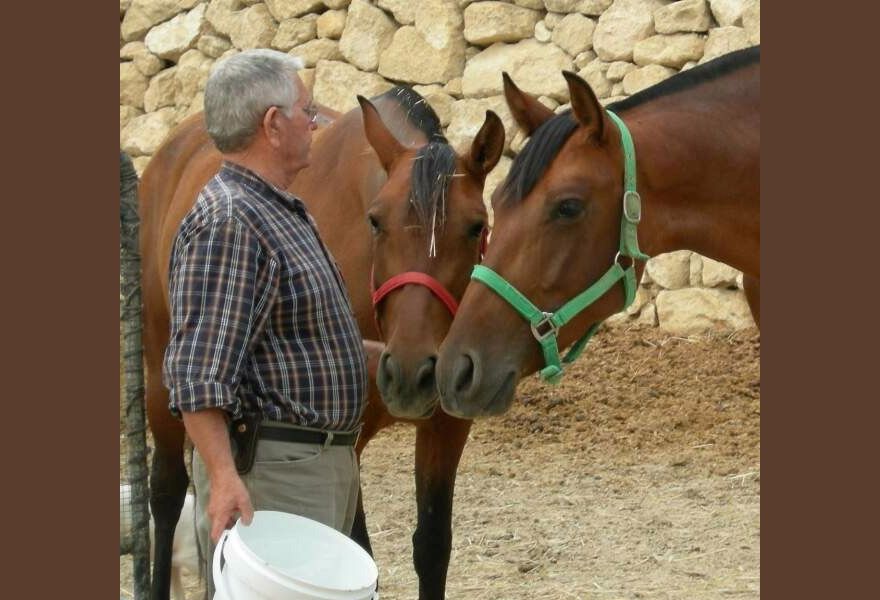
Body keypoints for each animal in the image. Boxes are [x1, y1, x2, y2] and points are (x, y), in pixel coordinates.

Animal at [142, 84, 506, 600]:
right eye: (376, 221)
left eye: (476, 226)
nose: (410, 372)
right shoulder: (348, 434)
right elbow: (358, 546)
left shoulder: (446, 428)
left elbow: (433, 547)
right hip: (161, 376)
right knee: (167, 492)